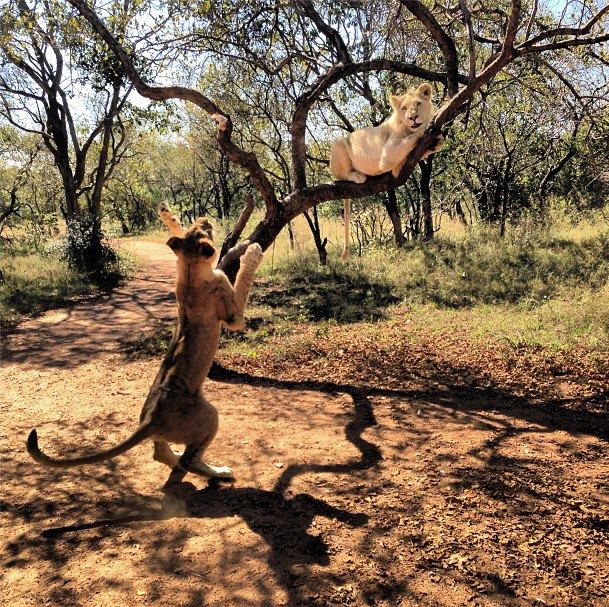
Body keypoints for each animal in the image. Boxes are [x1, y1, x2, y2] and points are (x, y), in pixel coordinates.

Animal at [27, 204, 262, 484]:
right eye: (205, 230)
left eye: (199, 226)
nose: (205, 218)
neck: (190, 267)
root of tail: (149, 421)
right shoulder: (232, 314)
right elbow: (242, 280)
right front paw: (250, 249)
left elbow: (176, 232)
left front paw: (168, 214)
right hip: (207, 415)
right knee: (190, 459)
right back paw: (220, 472)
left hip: (170, 425)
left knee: (160, 453)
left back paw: (178, 463)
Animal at [330, 82, 444, 258]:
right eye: (404, 108)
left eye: (418, 104)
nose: (412, 117)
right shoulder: (387, 154)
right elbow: (411, 138)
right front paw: (425, 129)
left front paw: (437, 140)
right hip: (337, 143)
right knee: (341, 175)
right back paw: (359, 176)